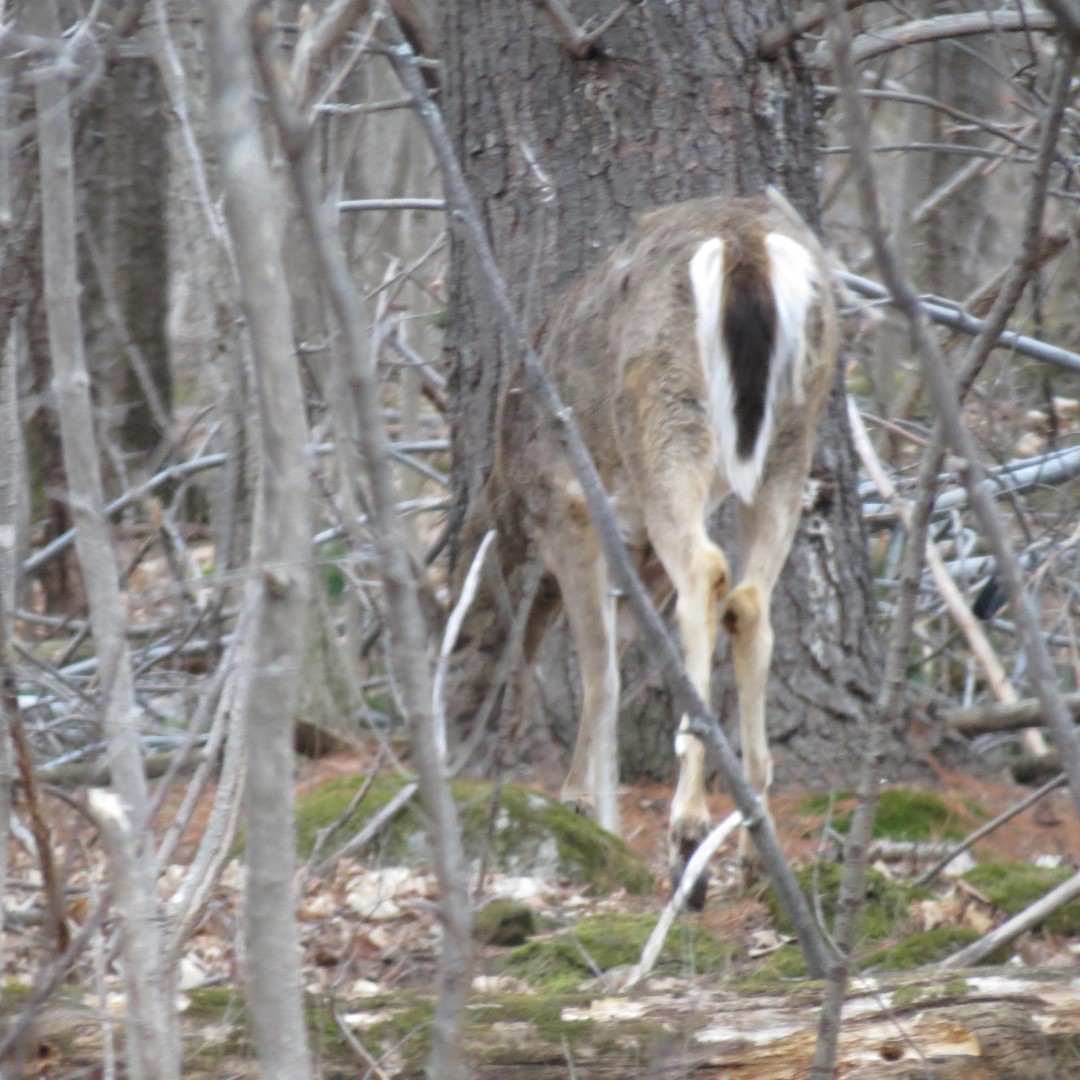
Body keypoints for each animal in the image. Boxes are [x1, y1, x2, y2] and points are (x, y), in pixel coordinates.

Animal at [455, 190, 838, 906]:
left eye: (455, 636)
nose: (453, 749)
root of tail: (745, 246)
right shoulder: (634, 553)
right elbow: (617, 644)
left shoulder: (569, 508)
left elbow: (600, 671)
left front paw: (587, 811)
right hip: (792, 432)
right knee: (749, 601)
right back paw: (754, 843)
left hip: (667, 409)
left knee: (708, 574)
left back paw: (688, 834)